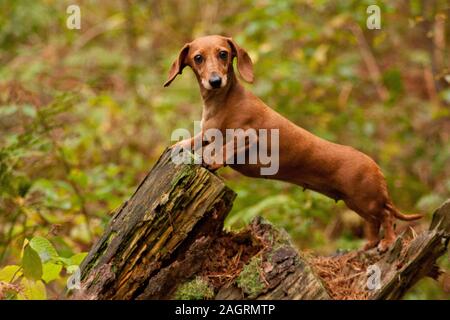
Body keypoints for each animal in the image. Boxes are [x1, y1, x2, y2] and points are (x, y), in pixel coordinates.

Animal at [164, 34, 422, 250]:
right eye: (198, 58)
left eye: (223, 54)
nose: (215, 81)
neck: (223, 102)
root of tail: (376, 167)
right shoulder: (207, 134)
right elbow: (196, 140)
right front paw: (179, 146)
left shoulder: (249, 136)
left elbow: (227, 147)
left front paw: (212, 159)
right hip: (356, 203)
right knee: (375, 222)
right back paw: (369, 244)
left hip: (366, 200)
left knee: (387, 217)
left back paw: (387, 242)